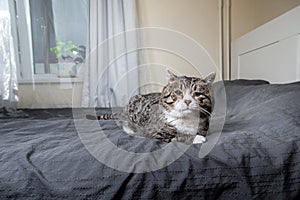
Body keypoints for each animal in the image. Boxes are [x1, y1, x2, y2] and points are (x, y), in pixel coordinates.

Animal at [86, 71, 216, 145]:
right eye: (178, 92)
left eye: (197, 94)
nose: (188, 101)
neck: (187, 120)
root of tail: (124, 109)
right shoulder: (154, 132)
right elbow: (178, 136)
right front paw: (196, 138)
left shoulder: (204, 128)